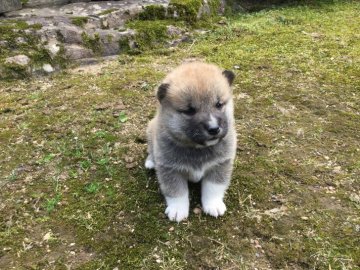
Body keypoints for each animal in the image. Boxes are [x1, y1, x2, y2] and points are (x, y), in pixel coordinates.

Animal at [145, 62, 238, 223]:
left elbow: (213, 188)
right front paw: (177, 209)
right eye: (189, 110)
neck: (198, 148)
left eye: (219, 104)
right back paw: (151, 162)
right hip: (150, 130)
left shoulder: (220, 165)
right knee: (150, 149)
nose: (214, 129)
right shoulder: (170, 169)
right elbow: (176, 192)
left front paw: (213, 204)